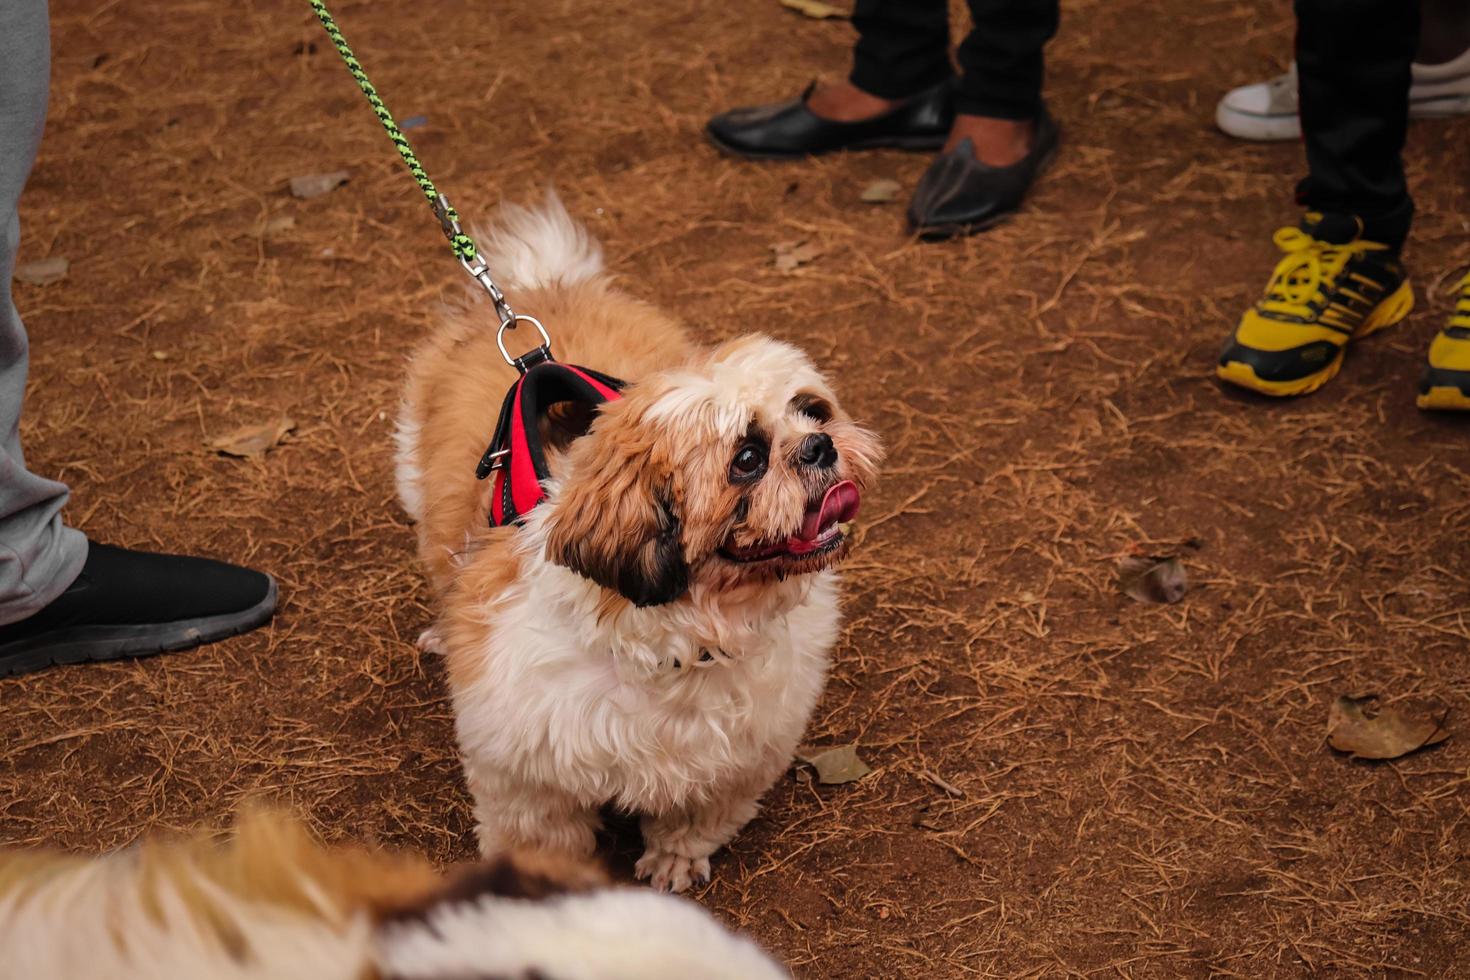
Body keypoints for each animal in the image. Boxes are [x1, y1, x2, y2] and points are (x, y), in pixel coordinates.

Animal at [393, 195, 882, 893]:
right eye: (748, 459)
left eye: (814, 412)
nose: (820, 445)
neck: (683, 644)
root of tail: (540, 295)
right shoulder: (524, 773)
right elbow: (543, 837)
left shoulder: (738, 757)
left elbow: (697, 814)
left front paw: (674, 857)